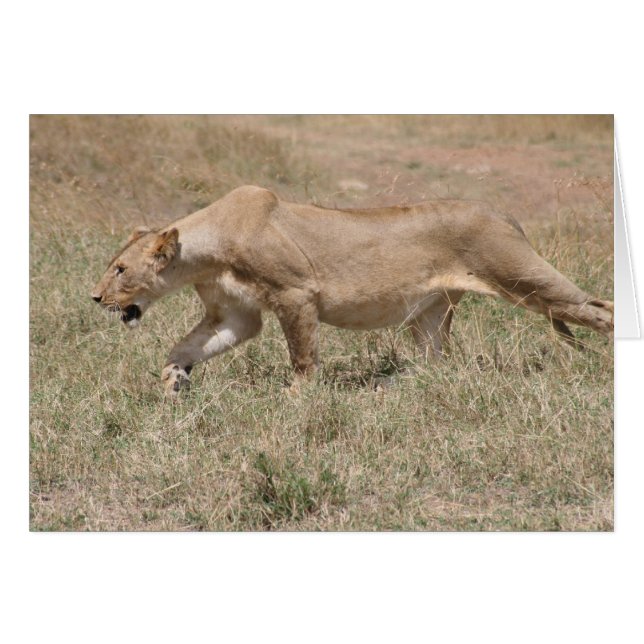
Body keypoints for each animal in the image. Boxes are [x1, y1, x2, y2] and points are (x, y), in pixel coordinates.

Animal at [91, 185, 613, 397]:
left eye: (119, 269)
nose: (95, 298)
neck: (209, 250)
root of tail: (502, 213)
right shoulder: (236, 316)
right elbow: (184, 347)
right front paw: (173, 382)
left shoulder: (296, 293)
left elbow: (302, 357)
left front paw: (296, 398)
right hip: (431, 312)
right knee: (437, 364)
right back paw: (392, 386)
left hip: (523, 278)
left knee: (599, 308)